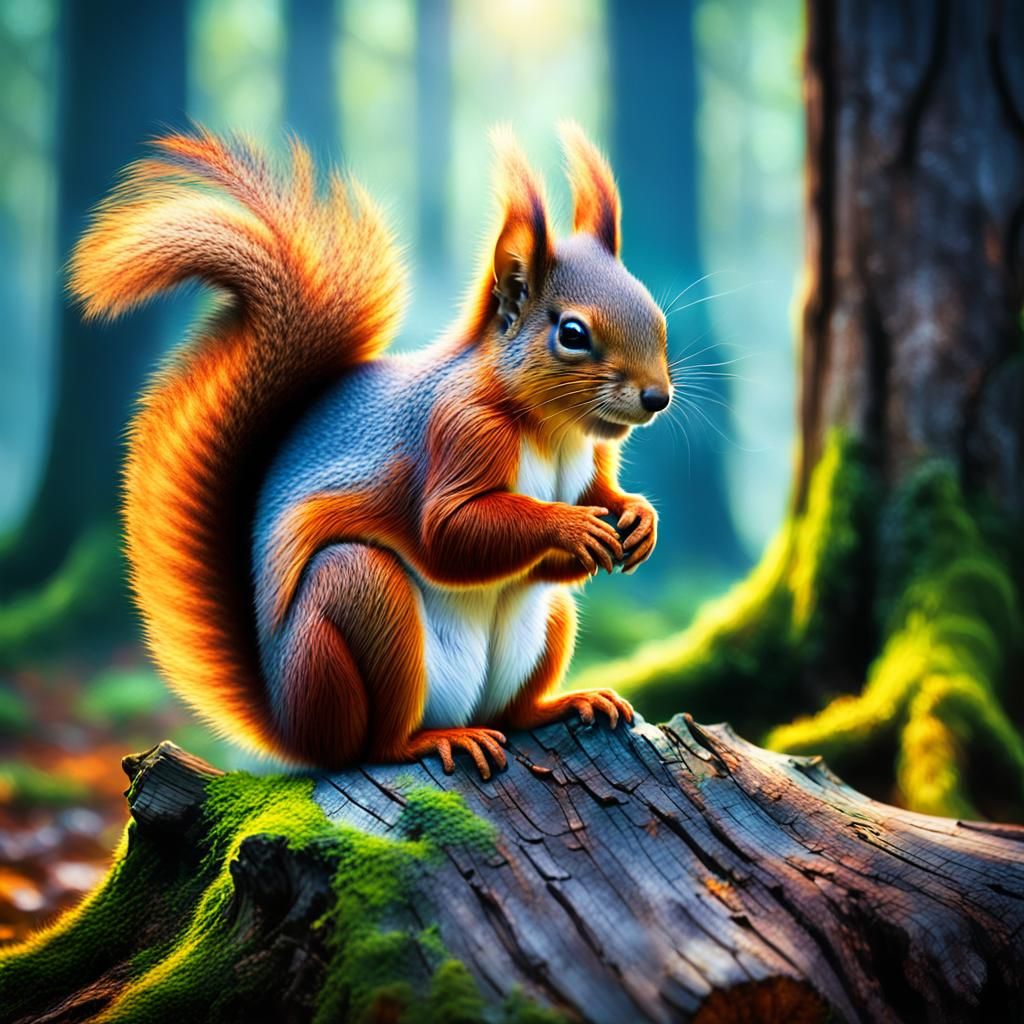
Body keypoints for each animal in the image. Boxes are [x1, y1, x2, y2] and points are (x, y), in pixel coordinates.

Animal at [69, 123, 671, 779]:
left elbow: (589, 510)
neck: (553, 429)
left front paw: (637, 518)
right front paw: (571, 526)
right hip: (360, 605)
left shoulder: (590, 459)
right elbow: (449, 532)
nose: (657, 397)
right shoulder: (457, 432)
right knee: (372, 744)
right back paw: (427, 742)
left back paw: (567, 702)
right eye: (572, 334)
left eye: (658, 318)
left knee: (515, 710)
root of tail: (294, 730)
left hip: (550, 621)